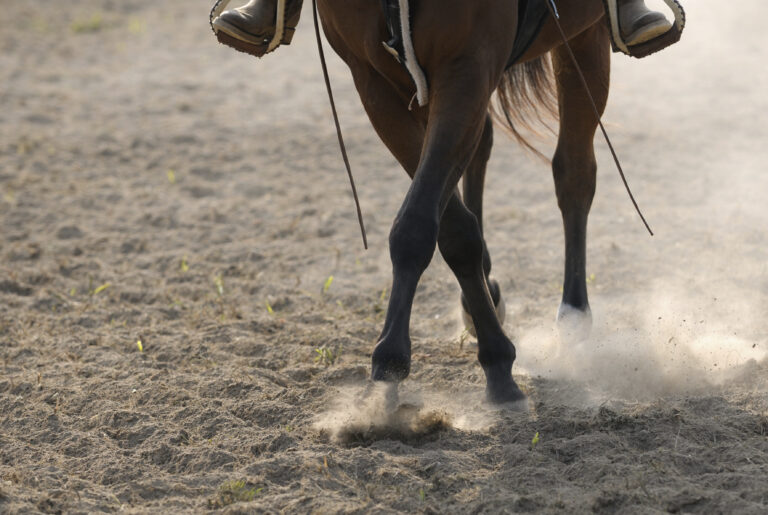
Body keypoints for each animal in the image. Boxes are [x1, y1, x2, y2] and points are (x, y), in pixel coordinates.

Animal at [316, 0, 608, 404]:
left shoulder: (467, 65)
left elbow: (418, 224)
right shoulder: (374, 79)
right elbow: (448, 223)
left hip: (585, 35)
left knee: (574, 172)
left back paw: (574, 316)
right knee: (484, 144)